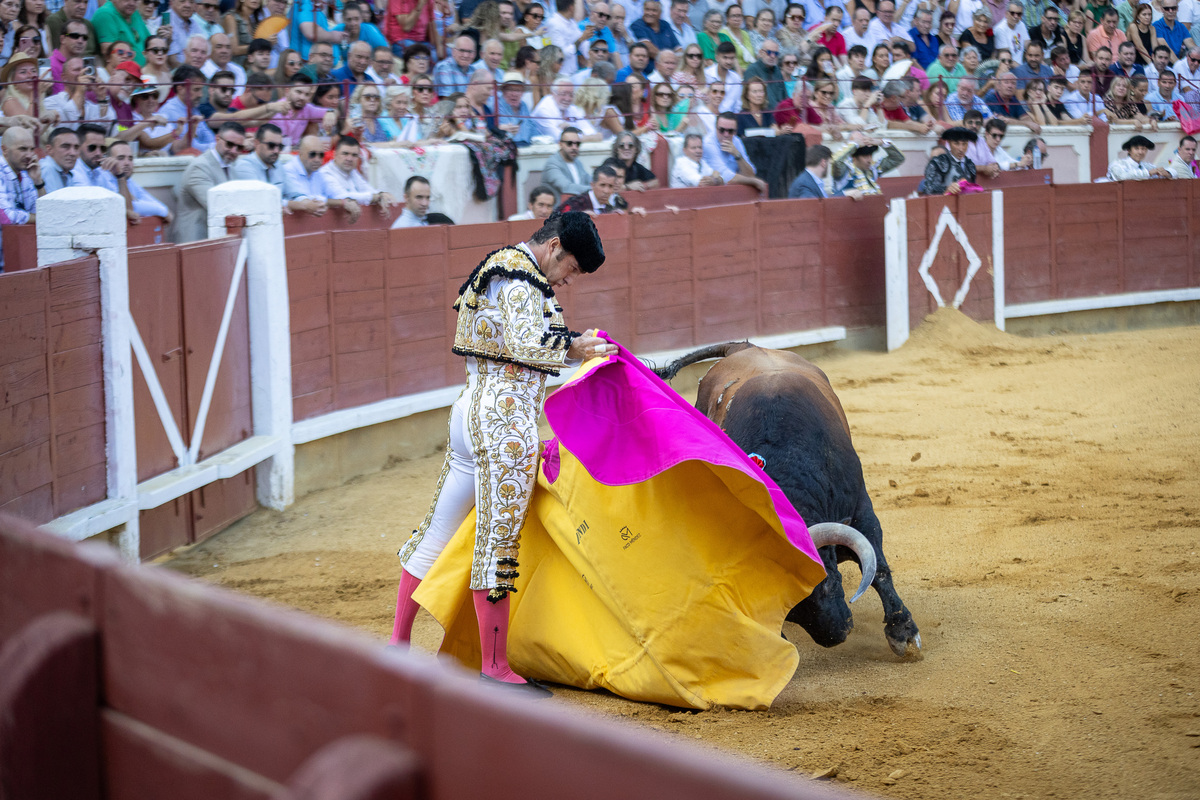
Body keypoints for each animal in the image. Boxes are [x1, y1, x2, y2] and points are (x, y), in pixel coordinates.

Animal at [657, 340, 916, 662]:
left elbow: (879, 568)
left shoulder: (861, 512)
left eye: (826, 581)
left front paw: (903, 632)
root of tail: (742, 347)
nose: (838, 634)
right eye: (787, 609)